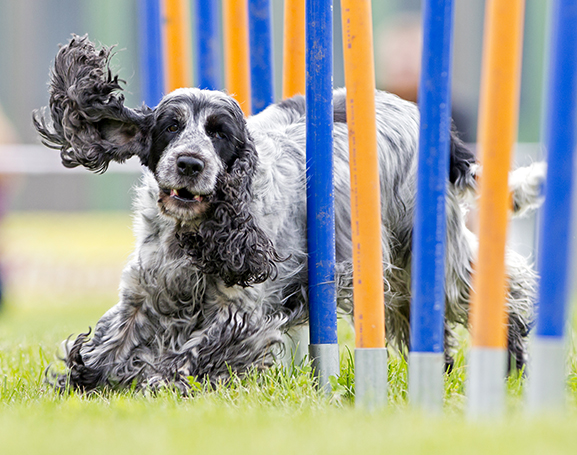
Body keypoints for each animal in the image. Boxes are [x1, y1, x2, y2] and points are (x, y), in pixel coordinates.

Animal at [32, 36, 544, 392]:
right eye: (170, 127)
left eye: (219, 134)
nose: (190, 163)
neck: (194, 233)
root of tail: (432, 123)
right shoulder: (145, 291)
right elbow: (111, 341)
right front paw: (85, 378)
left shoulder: (244, 311)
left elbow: (192, 354)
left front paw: (158, 379)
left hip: (427, 245)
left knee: (496, 288)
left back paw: (511, 360)